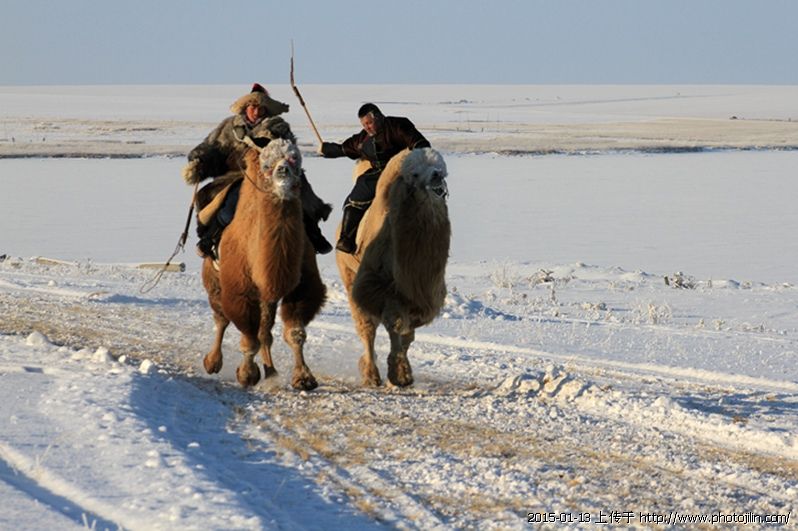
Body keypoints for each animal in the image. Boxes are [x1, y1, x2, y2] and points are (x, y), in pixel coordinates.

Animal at [201, 138, 326, 390]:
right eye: (266, 164)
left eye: (295, 159)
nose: (283, 172)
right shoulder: (240, 288)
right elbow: (248, 336)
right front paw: (247, 374)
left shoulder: (302, 283)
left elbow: (295, 332)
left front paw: (304, 377)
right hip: (213, 277)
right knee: (221, 318)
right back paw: (212, 362)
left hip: (266, 296)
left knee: (264, 329)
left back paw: (271, 371)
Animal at [336, 148, 451, 387]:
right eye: (415, 174)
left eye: (441, 167)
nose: (436, 176)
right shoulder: (380, 285)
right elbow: (395, 324)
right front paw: (399, 374)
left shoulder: (420, 294)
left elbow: (409, 332)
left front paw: (403, 373)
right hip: (349, 275)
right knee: (366, 328)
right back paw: (370, 374)